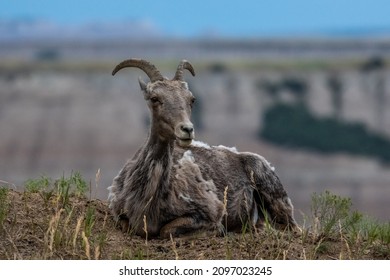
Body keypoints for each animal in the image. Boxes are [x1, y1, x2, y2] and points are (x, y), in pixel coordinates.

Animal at [106, 58, 296, 237]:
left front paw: (219, 231)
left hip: (272, 191)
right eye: (154, 98)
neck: (148, 201)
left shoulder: (207, 212)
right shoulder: (118, 213)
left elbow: (167, 231)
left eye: (192, 99)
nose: (187, 129)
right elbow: (125, 225)